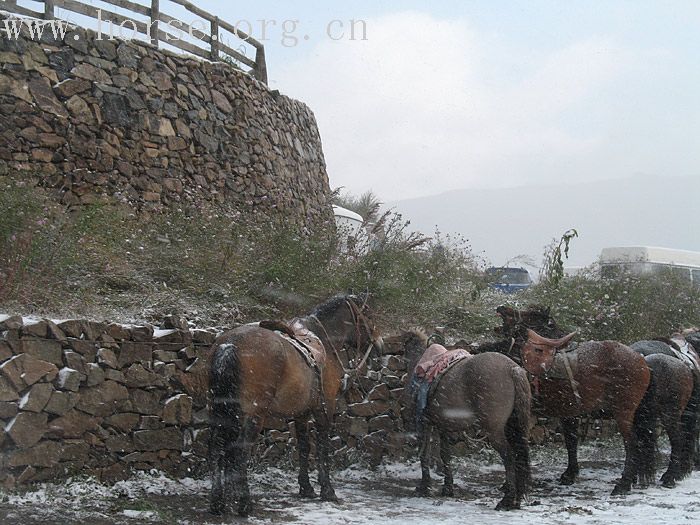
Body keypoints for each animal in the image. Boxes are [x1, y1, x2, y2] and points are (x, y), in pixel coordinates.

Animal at [208, 294, 382, 516]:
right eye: (367, 314)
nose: (379, 344)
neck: (324, 341)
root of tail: (229, 345)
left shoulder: (301, 413)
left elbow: (304, 446)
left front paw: (306, 487)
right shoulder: (325, 408)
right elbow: (322, 446)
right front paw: (327, 490)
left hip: (222, 411)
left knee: (217, 447)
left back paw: (218, 502)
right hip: (254, 414)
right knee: (240, 451)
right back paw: (244, 503)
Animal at [524, 330, 652, 494]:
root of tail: (642, 360)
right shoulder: (568, 413)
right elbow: (571, 441)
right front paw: (569, 475)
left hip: (623, 412)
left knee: (631, 443)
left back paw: (623, 484)